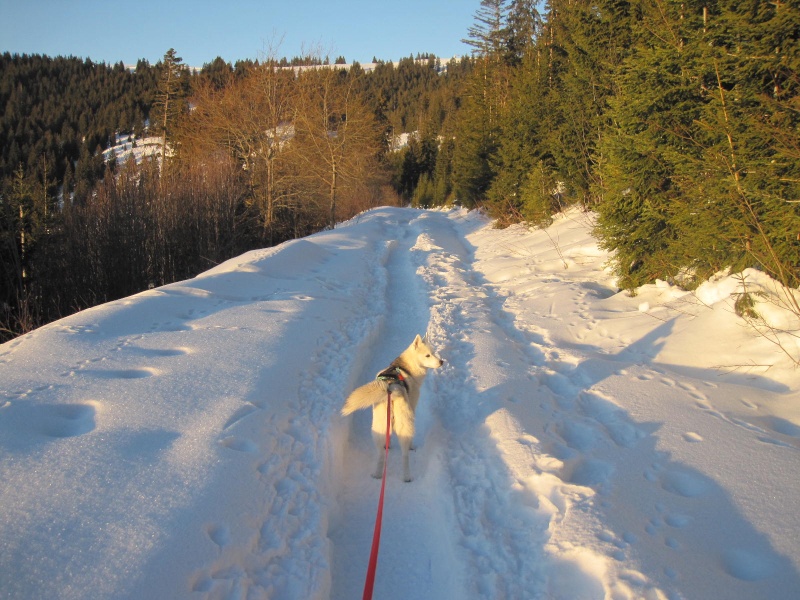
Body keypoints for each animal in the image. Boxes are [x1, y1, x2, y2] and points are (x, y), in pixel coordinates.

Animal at [342, 332, 446, 482]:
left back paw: (378, 474)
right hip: (405, 426)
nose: (442, 362)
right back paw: (406, 476)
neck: (405, 368)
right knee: (404, 455)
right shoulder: (413, 406)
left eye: (433, 353)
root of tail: (392, 389)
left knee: (380, 454)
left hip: (378, 427)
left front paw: (389, 445)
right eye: (428, 355)